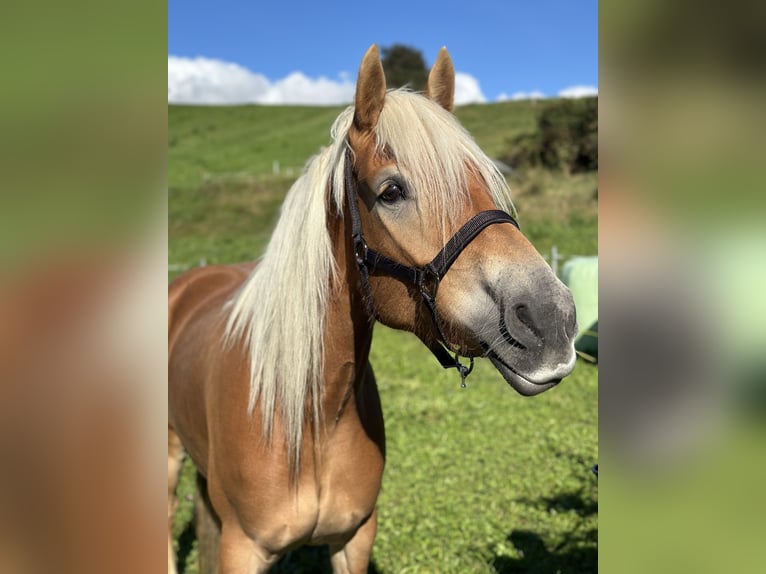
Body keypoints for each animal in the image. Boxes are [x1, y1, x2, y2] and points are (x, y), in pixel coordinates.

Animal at [168, 46, 576, 574]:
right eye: (391, 192)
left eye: (487, 180)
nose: (552, 320)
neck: (312, 415)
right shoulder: (244, 548)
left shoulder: (354, 539)